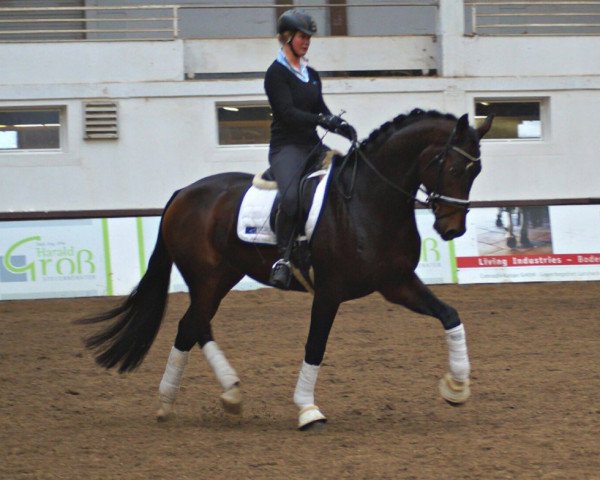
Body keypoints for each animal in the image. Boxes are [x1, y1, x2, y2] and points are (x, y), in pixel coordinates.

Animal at [77, 109, 492, 432]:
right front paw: (308, 409)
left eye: (477, 171)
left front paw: (457, 387)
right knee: (190, 325)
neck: (367, 201)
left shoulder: (397, 282)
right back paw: (171, 401)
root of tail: (183, 193)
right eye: (454, 166)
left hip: (222, 275)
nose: (452, 230)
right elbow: (315, 346)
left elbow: (450, 315)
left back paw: (227, 395)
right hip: (206, 276)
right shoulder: (329, 291)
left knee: (196, 325)